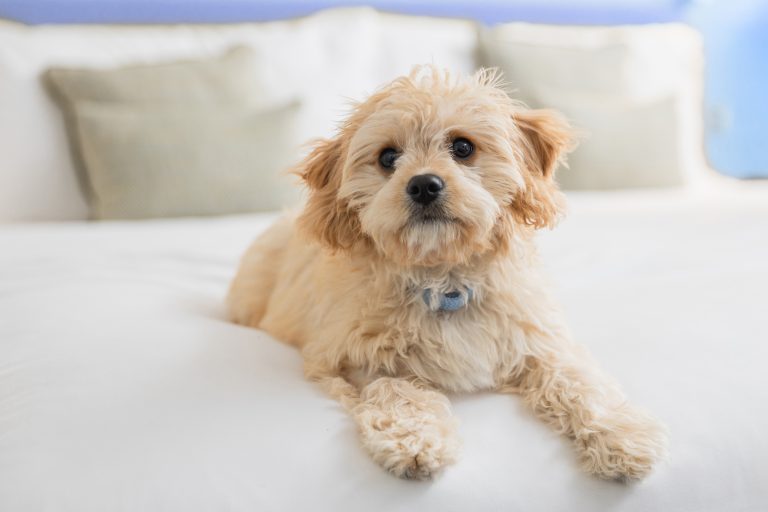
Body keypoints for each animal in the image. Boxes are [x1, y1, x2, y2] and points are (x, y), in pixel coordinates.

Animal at [226, 67, 664, 480]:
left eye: (463, 147)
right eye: (387, 158)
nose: (423, 185)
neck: (445, 281)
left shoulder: (540, 341)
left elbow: (579, 382)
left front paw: (622, 436)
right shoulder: (350, 360)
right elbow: (398, 389)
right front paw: (415, 441)